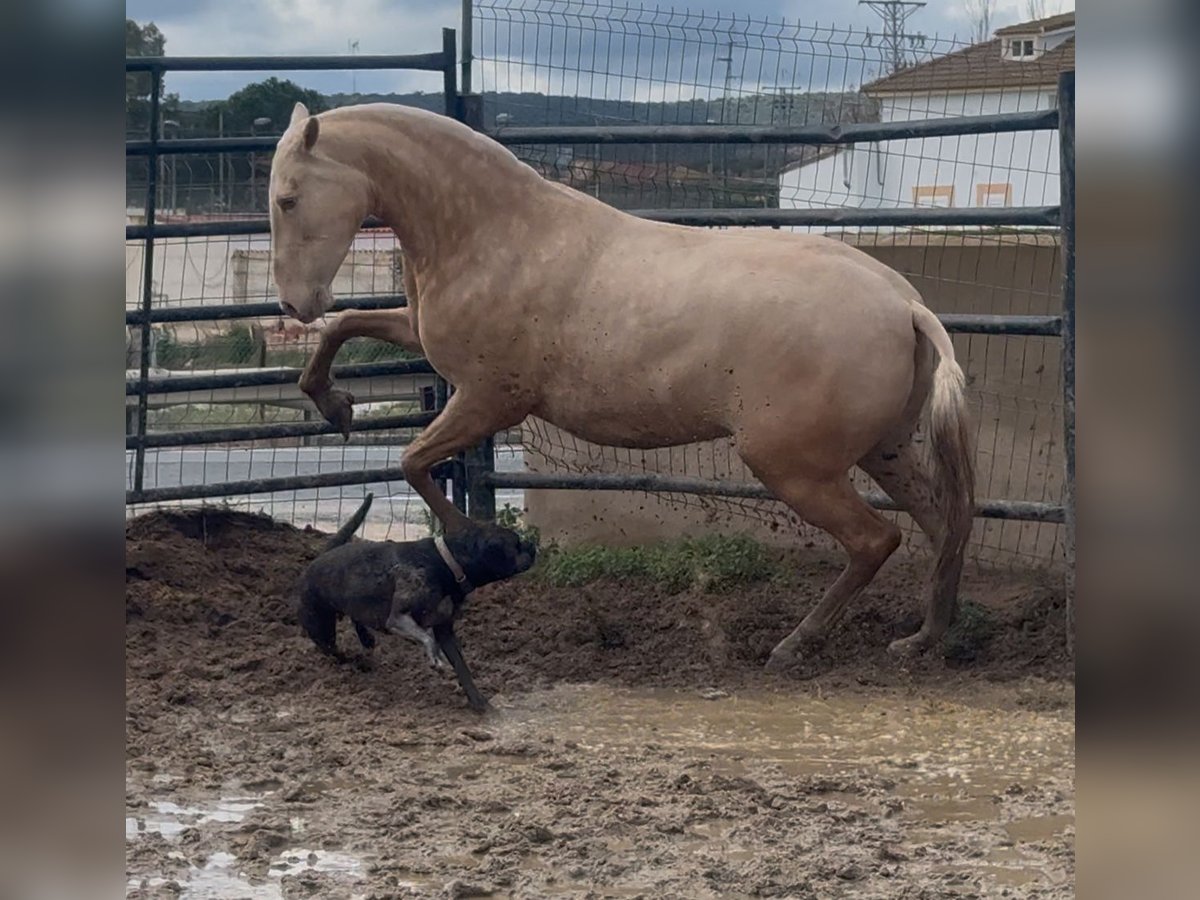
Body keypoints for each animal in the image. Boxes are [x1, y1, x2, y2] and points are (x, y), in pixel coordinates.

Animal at [270, 105, 974, 672]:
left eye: (287, 199)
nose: (295, 304)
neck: (492, 234)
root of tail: (905, 305)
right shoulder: (427, 345)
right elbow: (347, 327)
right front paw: (334, 405)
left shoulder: (489, 397)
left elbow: (413, 462)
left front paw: (471, 546)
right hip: (883, 451)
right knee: (944, 528)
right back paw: (923, 639)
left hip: (794, 466)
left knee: (875, 541)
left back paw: (794, 645)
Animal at [297, 494, 537, 710]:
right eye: (516, 544)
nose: (532, 544)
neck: (447, 562)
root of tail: (317, 560)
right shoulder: (398, 618)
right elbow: (427, 639)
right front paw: (435, 657)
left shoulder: (445, 629)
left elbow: (462, 668)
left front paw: (480, 703)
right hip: (320, 627)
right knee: (332, 649)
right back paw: (353, 662)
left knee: (356, 618)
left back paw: (366, 639)